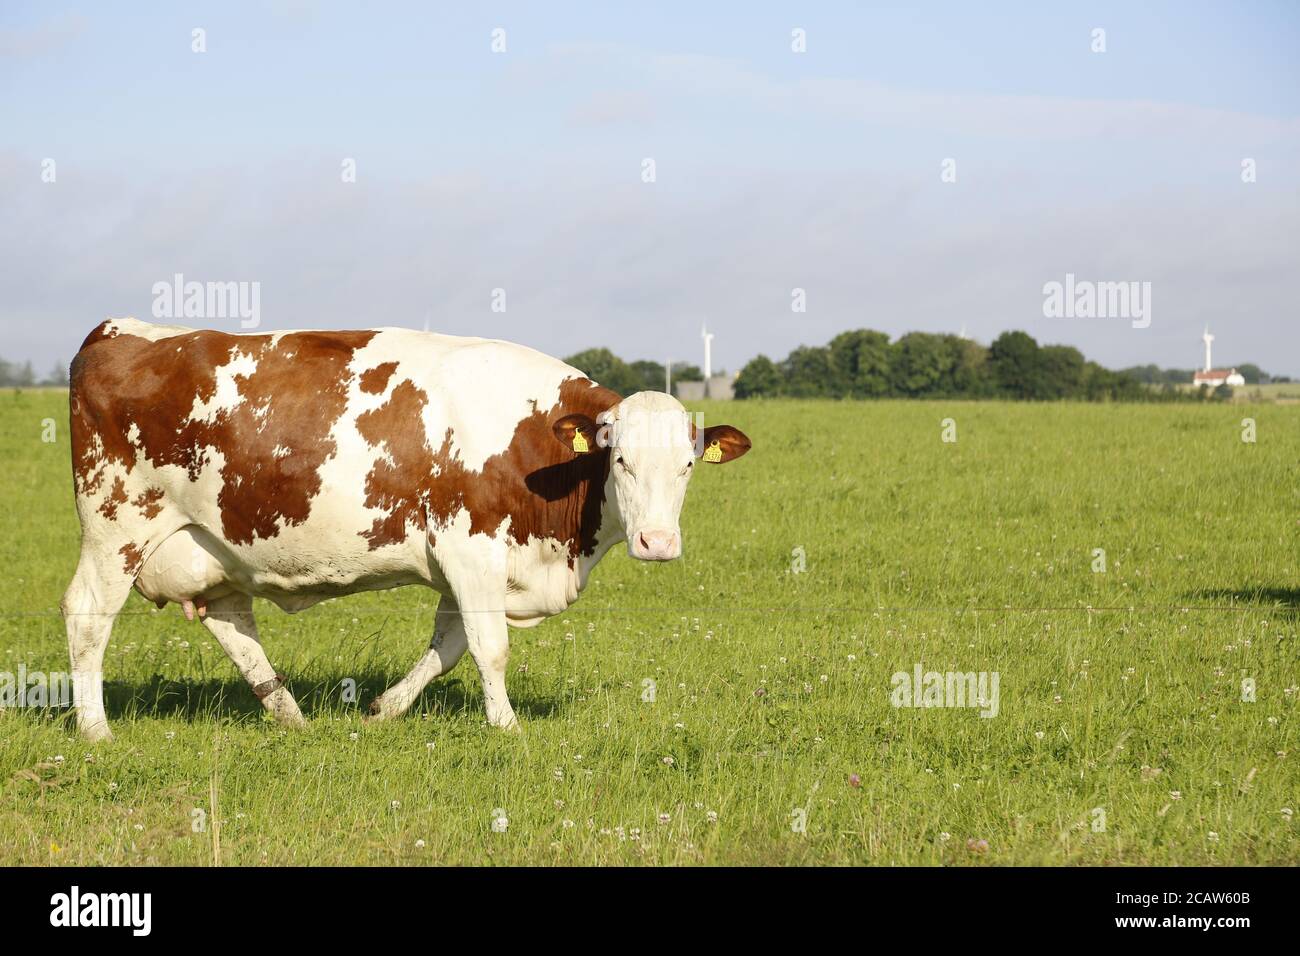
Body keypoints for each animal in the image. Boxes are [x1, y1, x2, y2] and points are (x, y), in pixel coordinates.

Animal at [62, 318, 751, 741]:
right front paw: (507, 728)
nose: (657, 544)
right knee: (87, 614)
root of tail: (118, 331)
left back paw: (291, 717)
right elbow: (490, 647)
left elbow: (448, 649)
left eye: (688, 465)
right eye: (620, 460)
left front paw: (382, 710)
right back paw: (96, 729)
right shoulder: (471, 548)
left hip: (213, 544)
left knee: (234, 623)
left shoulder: (462, 565)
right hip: (116, 526)